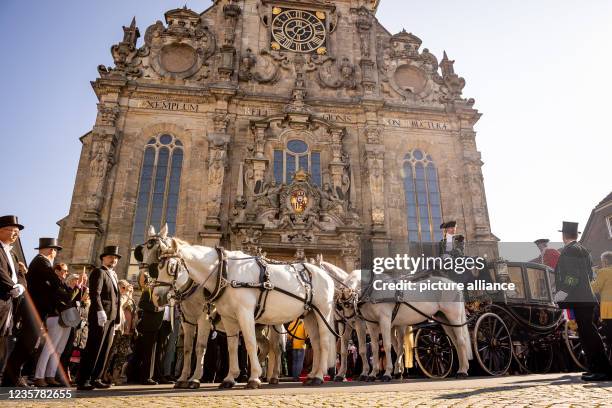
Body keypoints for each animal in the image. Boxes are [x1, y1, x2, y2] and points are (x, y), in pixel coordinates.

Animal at [139, 226, 338, 388]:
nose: (157, 296)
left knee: (321, 342)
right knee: (310, 343)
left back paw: (317, 376)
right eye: (155, 261)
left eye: (171, 266)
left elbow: (238, 344)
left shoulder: (228, 315)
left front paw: (253, 378)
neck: (224, 272)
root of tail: (323, 273)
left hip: (321, 312)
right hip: (307, 315)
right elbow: (227, 346)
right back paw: (308, 375)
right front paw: (227, 378)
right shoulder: (213, 318)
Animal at [340, 270, 474, 380]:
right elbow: (374, 348)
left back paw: (463, 372)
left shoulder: (385, 320)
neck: (374, 292)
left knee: (461, 341)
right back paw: (463, 368)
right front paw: (372, 374)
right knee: (456, 343)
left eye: (355, 282)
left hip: (454, 317)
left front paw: (387, 373)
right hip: (444, 319)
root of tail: (455, 284)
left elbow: (387, 346)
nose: (348, 319)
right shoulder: (371, 324)